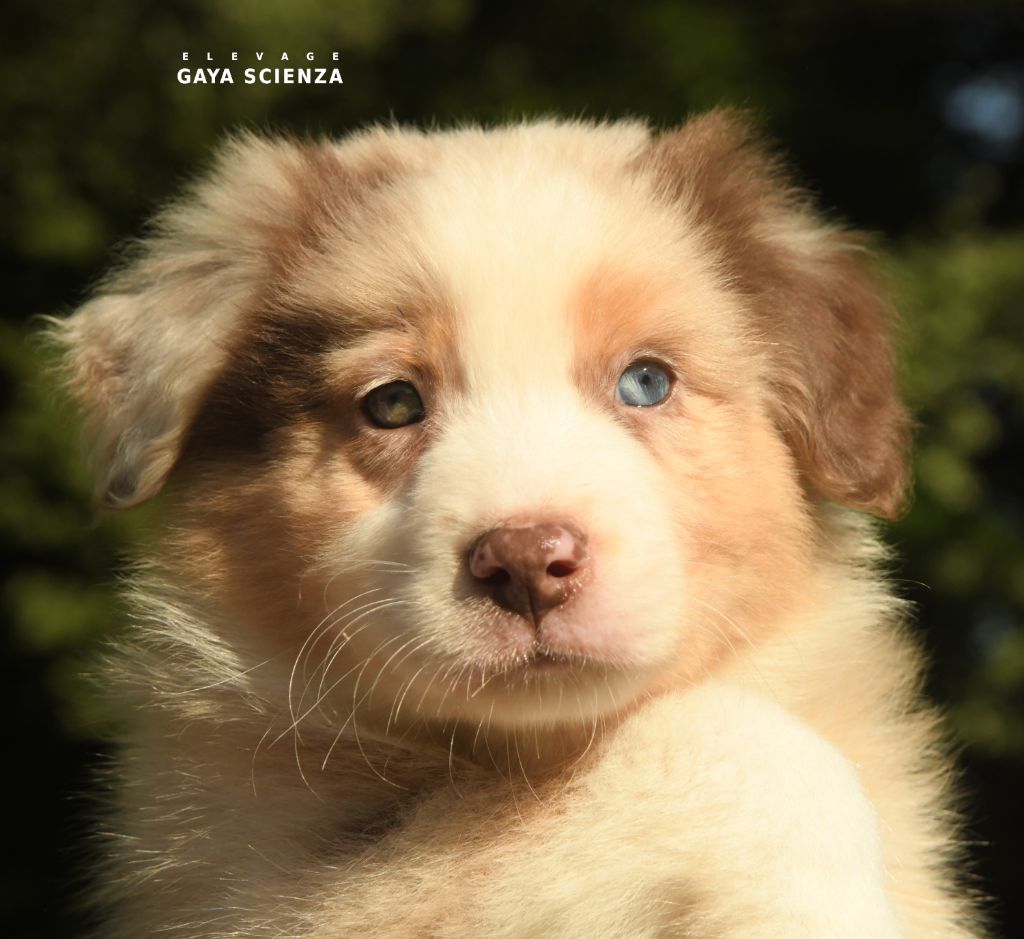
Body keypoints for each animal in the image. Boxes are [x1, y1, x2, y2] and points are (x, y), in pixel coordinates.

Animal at [56, 111, 984, 937]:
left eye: (646, 381)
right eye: (392, 403)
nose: (527, 562)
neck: (528, 750)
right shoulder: (298, 872)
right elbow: (734, 735)